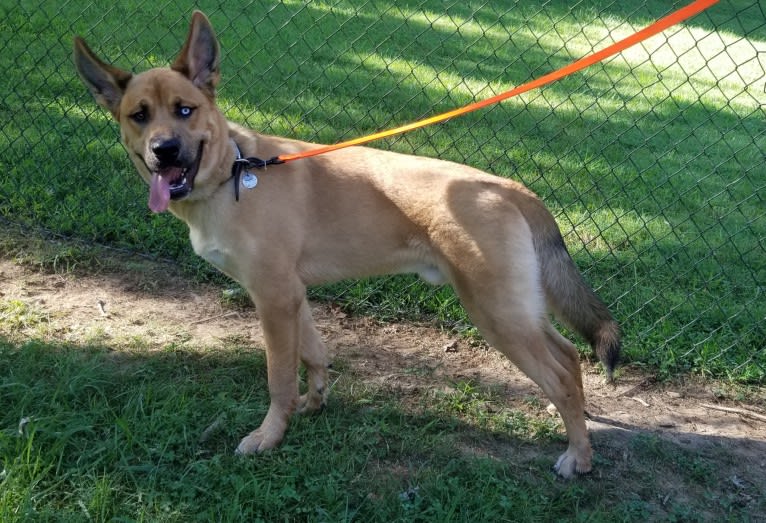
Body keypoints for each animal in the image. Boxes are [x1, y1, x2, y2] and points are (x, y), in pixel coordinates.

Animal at [73, 11, 624, 478]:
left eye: (184, 110)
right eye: (139, 116)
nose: (164, 152)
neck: (233, 171)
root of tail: (512, 188)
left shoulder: (273, 298)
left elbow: (278, 377)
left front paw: (269, 436)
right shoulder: (291, 296)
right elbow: (314, 355)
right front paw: (314, 404)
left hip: (498, 314)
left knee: (560, 374)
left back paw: (579, 458)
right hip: (517, 309)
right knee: (569, 360)